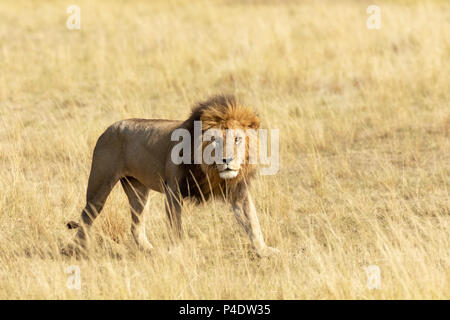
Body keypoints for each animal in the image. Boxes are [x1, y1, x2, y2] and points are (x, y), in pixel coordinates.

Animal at [67, 95, 278, 258]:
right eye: (214, 140)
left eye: (237, 139)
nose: (227, 159)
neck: (211, 169)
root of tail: (108, 128)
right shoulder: (173, 190)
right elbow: (175, 226)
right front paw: (177, 252)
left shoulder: (238, 191)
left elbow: (253, 221)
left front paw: (264, 250)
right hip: (100, 184)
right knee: (87, 216)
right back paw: (77, 250)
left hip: (139, 191)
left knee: (136, 225)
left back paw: (148, 250)